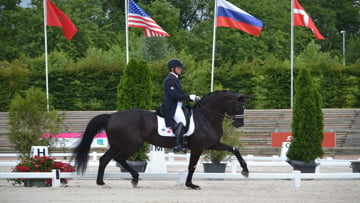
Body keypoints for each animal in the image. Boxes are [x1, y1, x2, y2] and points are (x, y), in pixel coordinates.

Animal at [73, 90, 250, 189]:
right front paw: (190, 185)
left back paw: (101, 182)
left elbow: (234, 149)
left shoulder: (213, 144)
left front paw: (245, 170)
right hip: (132, 145)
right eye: (240, 106)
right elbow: (192, 166)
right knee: (119, 159)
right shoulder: (198, 148)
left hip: (117, 145)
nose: (239, 124)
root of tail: (111, 116)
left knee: (104, 159)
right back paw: (135, 178)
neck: (206, 117)